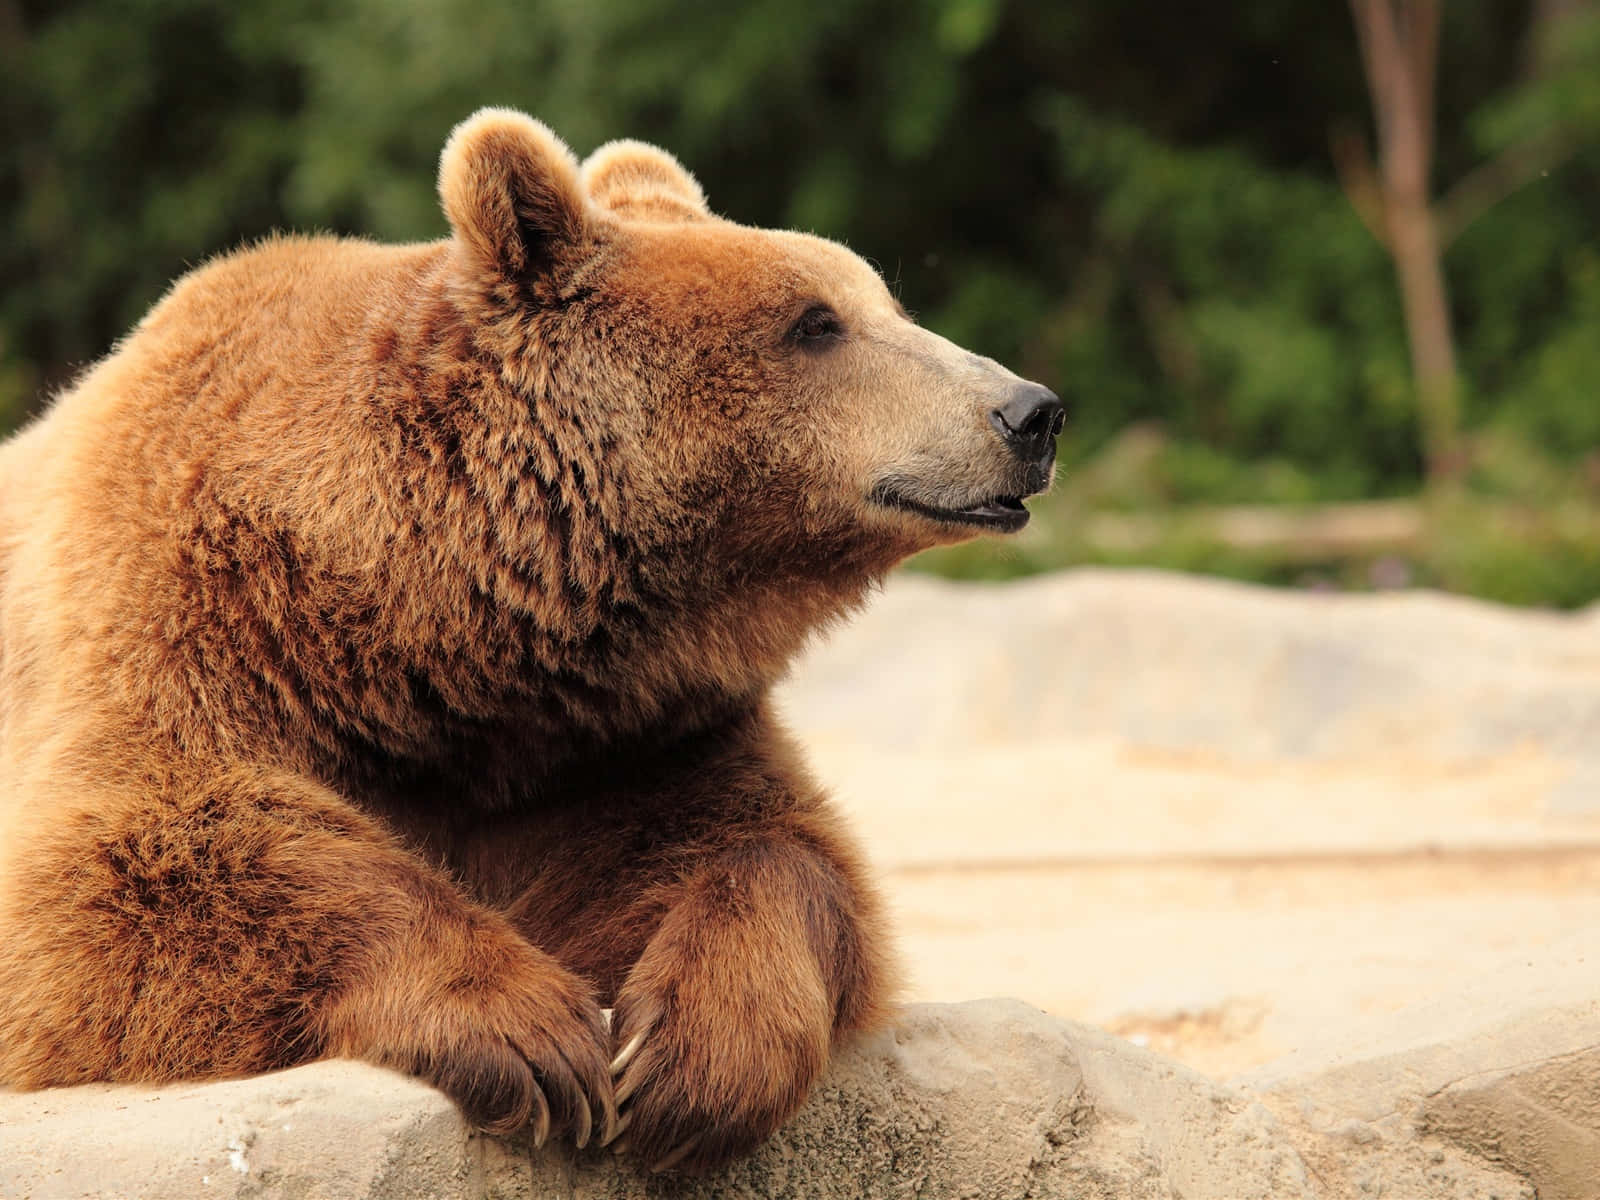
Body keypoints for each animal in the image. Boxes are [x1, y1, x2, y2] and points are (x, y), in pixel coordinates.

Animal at [0, 109, 1063, 1174]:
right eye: (816, 322)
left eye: (882, 299)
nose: (1030, 411)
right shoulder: (184, 626)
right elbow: (134, 861)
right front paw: (533, 1040)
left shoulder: (617, 742)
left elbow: (773, 848)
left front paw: (686, 1059)